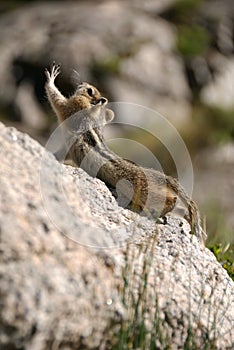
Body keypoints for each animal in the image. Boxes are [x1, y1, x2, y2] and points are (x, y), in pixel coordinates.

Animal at [44, 62, 206, 243]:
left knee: (171, 200)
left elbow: (57, 100)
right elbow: (62, 153)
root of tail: (163, 177)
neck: (93, 112)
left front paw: (51, 77)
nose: (82, 82)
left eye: (90, 90)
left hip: (143, 191)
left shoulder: (71, 107)